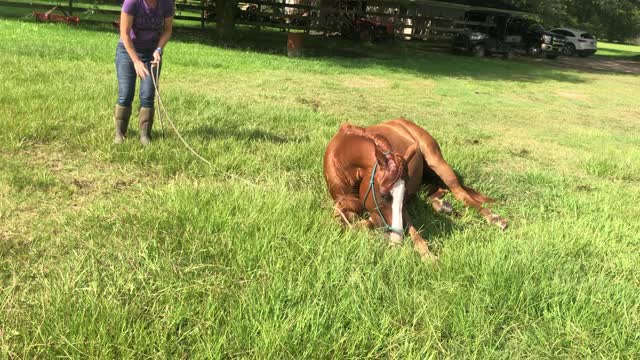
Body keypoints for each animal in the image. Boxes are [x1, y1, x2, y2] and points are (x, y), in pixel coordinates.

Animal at [322, 118, 508, 262]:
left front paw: (427, 256)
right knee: (438, 190)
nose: (397, 240)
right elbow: (347, 221)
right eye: (382, 195)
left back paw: (494, 218)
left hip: (437, 161)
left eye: (403, 197)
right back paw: (443, 205)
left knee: (460, 193)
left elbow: (408, 228)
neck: (343, 162)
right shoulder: (342, 204)